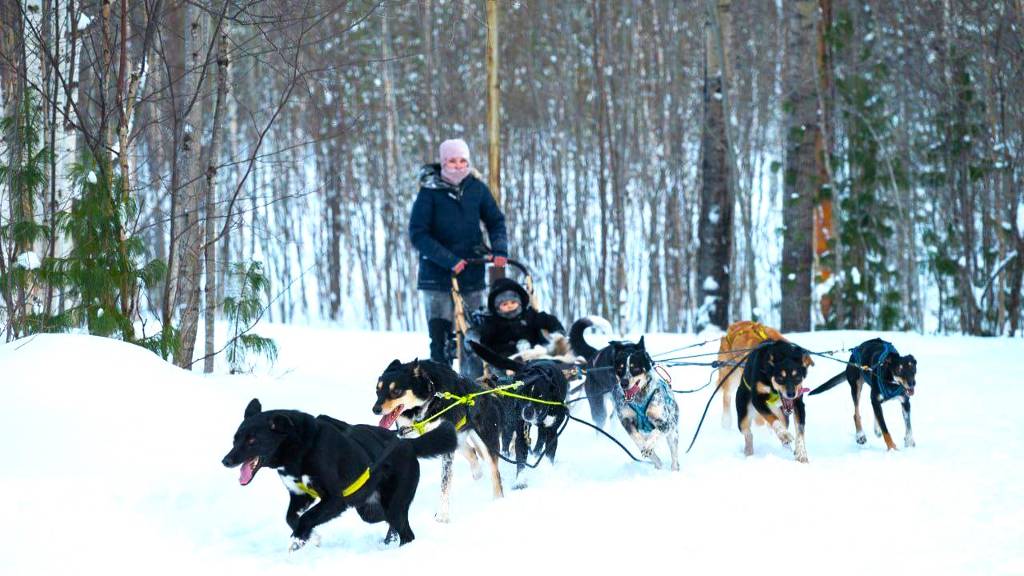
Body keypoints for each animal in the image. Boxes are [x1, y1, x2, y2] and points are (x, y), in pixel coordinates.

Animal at [221, 393, 456, 545]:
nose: (226, 460)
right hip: (370, 509)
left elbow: (307, 518)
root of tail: (406, 444)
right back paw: (389, 542)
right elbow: (291, 518)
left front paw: (299, 540)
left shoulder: (335, 500)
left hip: (392, 504)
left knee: (406, 532)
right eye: (235, 439)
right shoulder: (301, 496)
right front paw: (310, 537)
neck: (301, 447)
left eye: (252, 440)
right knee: (393, 525)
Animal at [374, 360, 505, 522]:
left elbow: (445, 482)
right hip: (457, 439)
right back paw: (477, 473)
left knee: (495, 473)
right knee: (472, 452)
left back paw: (498, 501)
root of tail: (486, 389)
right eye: (377, 390)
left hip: (486, 441)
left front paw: (442, 515)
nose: (375, 409)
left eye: (396, 391)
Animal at [468, 338, 573, 485]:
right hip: (509, 423)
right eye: (523, 393)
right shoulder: (520, 432)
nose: (527, 413)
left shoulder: (552, 431)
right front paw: (520, 482)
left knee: (540, 440)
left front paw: (548, 470)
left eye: (540, 396)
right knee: (506, 441)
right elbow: (521, 459)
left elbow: (549, 453)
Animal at [569, 315, 679, 469]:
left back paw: (673, 468)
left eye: (635, 368)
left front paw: (649, 447)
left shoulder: (665, 422)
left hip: (672, 432)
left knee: (673, 452)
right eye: (620, 368)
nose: (624, 383)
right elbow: (638, 439)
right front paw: (649, 452)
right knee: (601, 424)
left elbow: (655, 434)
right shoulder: (627, 421)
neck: (639, 400)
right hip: (598, 408)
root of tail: (593, 355)